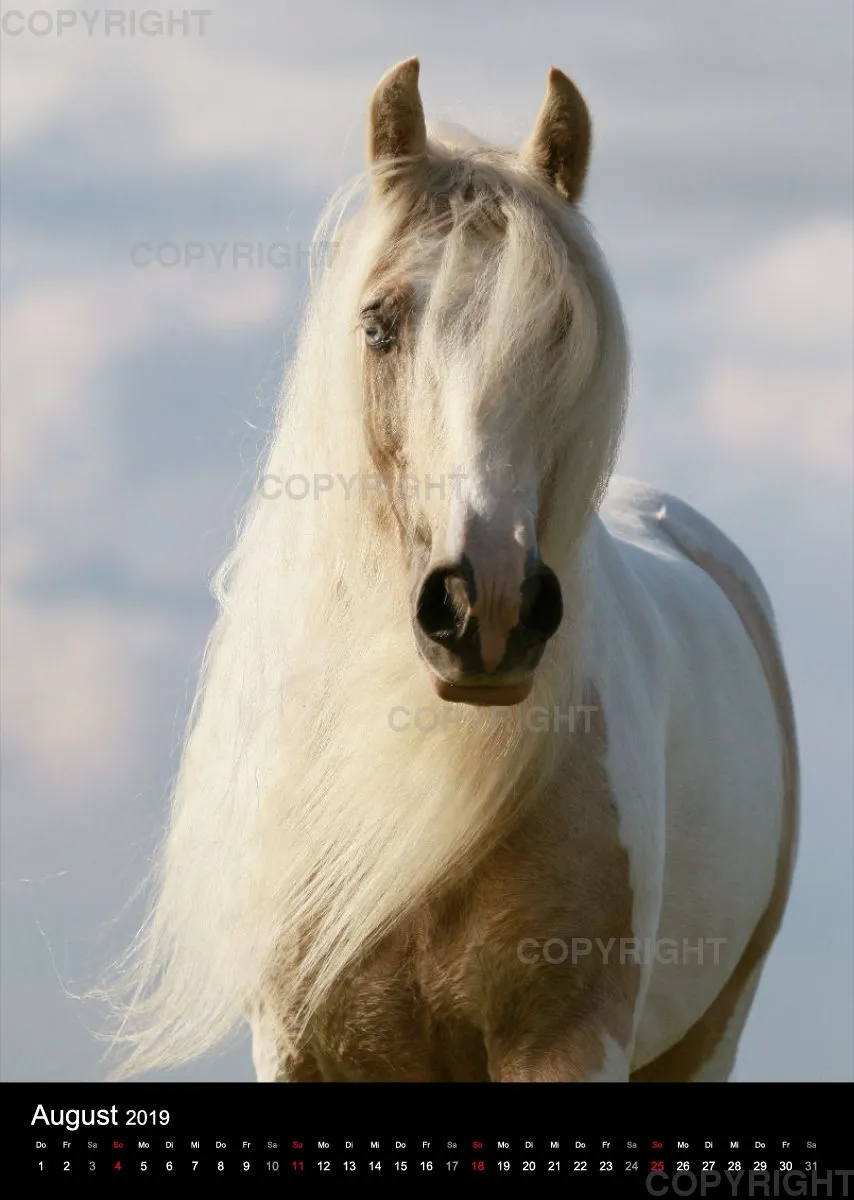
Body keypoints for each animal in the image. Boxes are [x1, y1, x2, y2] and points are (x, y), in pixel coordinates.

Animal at [106, 59, 799, 1083]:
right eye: (377, 326)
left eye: (561, 333)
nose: (488, 607)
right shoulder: (299, 1049)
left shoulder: (568, 1042)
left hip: (710, 1037)